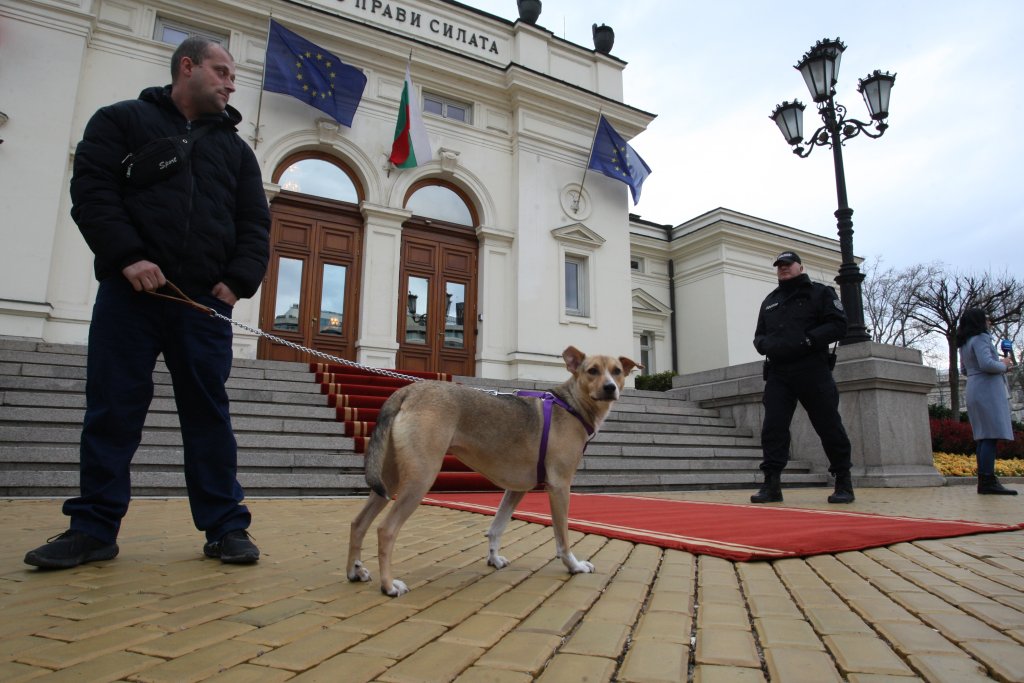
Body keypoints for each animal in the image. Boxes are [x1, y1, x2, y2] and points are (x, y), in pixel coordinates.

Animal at [350, 344, 638, 593]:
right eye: (592, 371)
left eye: (617, 371)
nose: (610, 388)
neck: (570, 405)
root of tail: (407, 391)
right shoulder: (559, 486)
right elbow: (563, 537)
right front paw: (574, 565)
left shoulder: (516, 488)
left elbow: (497, 526)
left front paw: (494, 559)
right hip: (420, 478)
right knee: (386, 530)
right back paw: (388, 586)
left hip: (388, 480)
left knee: (358, 522)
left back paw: (356, 571)